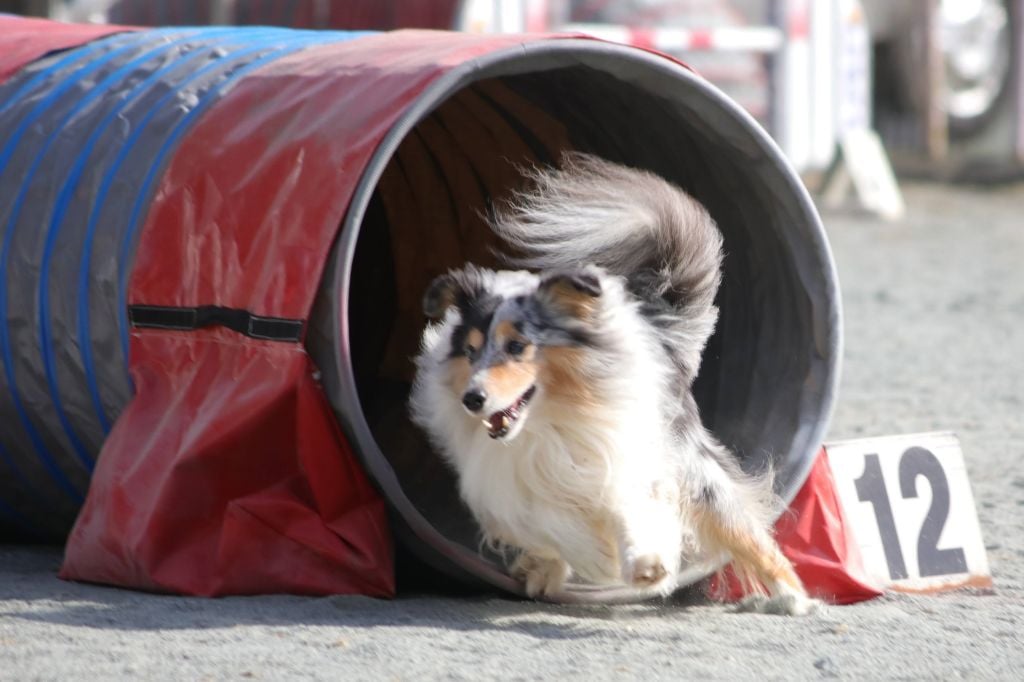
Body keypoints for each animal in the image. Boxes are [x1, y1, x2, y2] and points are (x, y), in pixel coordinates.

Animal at [407, 153, 815, 614]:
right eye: (472, 350)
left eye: (517, 346)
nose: (473, 399)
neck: (553, 419)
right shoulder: (509, 485)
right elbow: (552, 523)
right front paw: (586, 560)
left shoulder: (627, 459)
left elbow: (628, 509)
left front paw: (645, 563)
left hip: (691, 461)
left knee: (740, 524)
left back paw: (793, 597)